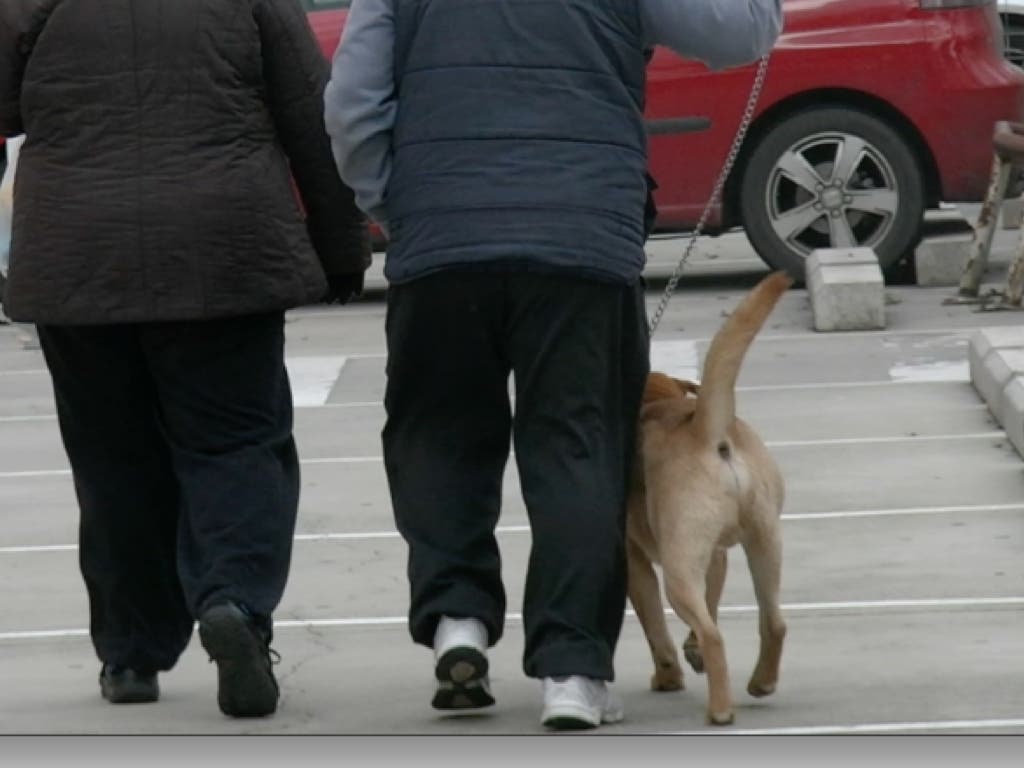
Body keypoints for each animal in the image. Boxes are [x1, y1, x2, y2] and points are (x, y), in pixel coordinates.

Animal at [622, 272, 790, 729]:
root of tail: (706, 431)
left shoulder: (633, 562)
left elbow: (654, 625)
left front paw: (668, 675)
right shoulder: (715, 555)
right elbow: (711, 602)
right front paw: (689, 652)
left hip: (678, 569)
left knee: (715, 636)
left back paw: (720, 710)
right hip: (764, 543)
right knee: (774, 622)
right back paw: (761, 683)